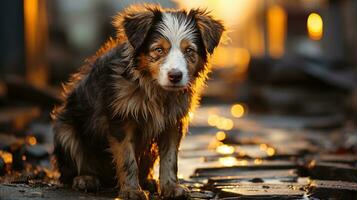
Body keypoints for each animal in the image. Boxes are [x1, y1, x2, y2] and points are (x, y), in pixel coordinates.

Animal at [51, 3, 224, 199]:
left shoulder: (173, 122)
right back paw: (85, 178)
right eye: (158, 50)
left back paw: (148, 181)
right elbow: (127, 158)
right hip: (65, 130)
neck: (154, 88)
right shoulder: (120, 118)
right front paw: (131, 190)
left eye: (189, 51)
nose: (175, 76)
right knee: (72, 167)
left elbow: (170, 158)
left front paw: (171, 187)